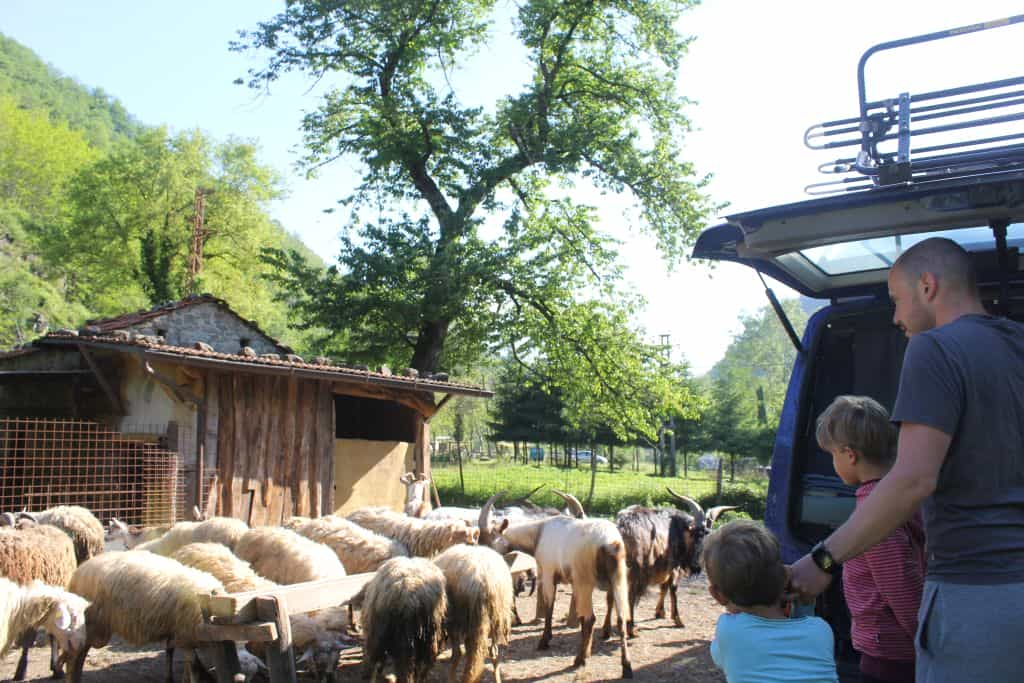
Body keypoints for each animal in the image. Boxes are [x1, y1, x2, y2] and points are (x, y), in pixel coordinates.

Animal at [67, 548, 225, 683]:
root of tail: (78, 572)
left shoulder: (176, 632)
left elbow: (172, 653)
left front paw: (172, 678)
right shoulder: (185, 635)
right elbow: (194, 668)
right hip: (91, 625)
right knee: (75, 658)